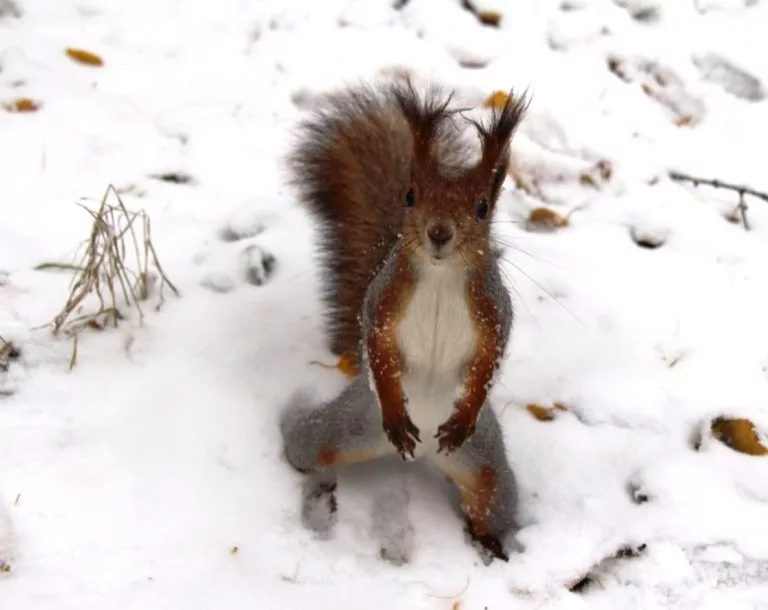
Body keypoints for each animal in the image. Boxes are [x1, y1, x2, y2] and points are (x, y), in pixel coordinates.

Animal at [280, 76, 528, 562]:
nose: (439, 233)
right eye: (411, 196)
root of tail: (420, 457)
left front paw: (464, 414)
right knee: (306, 441)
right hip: (347, 427)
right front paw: (395, 412)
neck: (439, 275)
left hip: (487, 466)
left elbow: (491, 358)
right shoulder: (383, 300)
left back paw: (490, 542)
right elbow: (376, 344)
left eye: (482, 207)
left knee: (490, 502)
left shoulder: (494, 310)